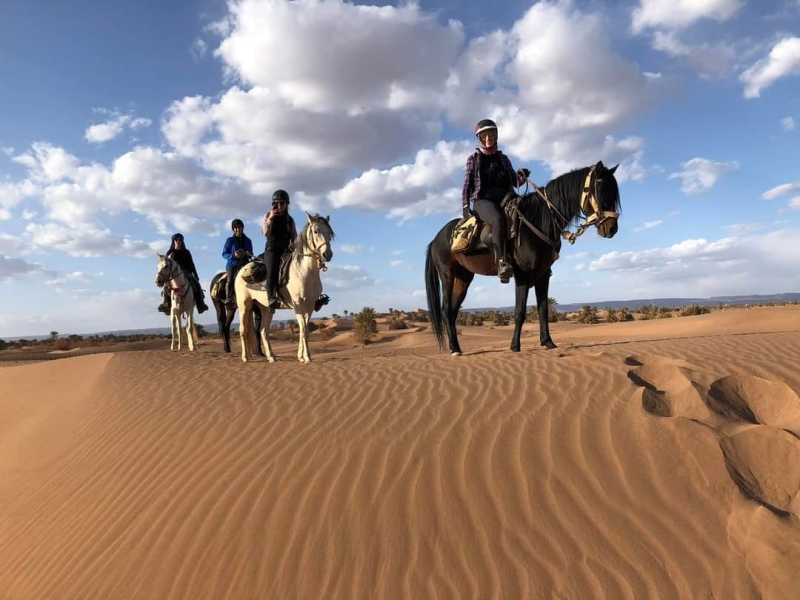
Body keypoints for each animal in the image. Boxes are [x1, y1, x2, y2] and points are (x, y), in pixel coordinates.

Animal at [238, 212, 338, 360]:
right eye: (316, 231)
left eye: (329, 233)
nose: (327, 254)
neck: (304, 271)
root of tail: (241, 270)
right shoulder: (298, 304)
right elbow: (303, 330)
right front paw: (306, 357)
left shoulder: (310, 305)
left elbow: (305, 331)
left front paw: (301, 356)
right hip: (244, 306)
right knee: (243, 330)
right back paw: (245, 357)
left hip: (265, 308)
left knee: (263, 331)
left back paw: (271, 357)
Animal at [428, 161, 620, 356]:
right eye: (601, 193)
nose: (612, 229)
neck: (538, 221)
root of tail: (435, 239)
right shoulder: (522, 274)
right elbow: (519, 311)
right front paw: (515, 346)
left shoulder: (543, 274)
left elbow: (543, 309)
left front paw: (548, 342)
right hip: (447, 275)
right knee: (446, 310)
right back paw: (454, 349)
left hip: (464, 277)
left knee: (453, 311)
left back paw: (456, 347)